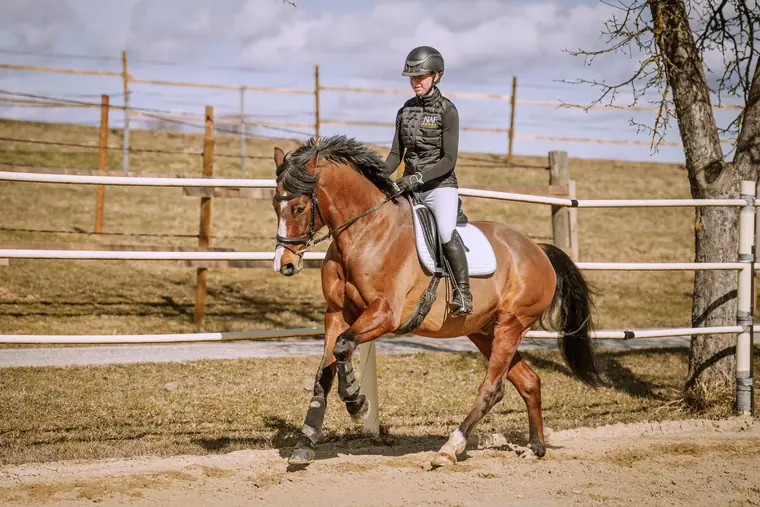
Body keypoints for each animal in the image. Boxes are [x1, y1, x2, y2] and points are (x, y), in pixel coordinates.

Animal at [270, 135, 601, 468]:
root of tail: (538, 250)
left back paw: (449, 449)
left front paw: (356, 400)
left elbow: (343, 346)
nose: (284, 264)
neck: (365, 233)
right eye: (275, 204)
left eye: (299, 208)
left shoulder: (384, 314)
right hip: (484, 331)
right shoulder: (337, 313)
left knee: (492, 388)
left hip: (511, 325)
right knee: (529, 380)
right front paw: (305, 443)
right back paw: (536, 446)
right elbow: (324, 371)